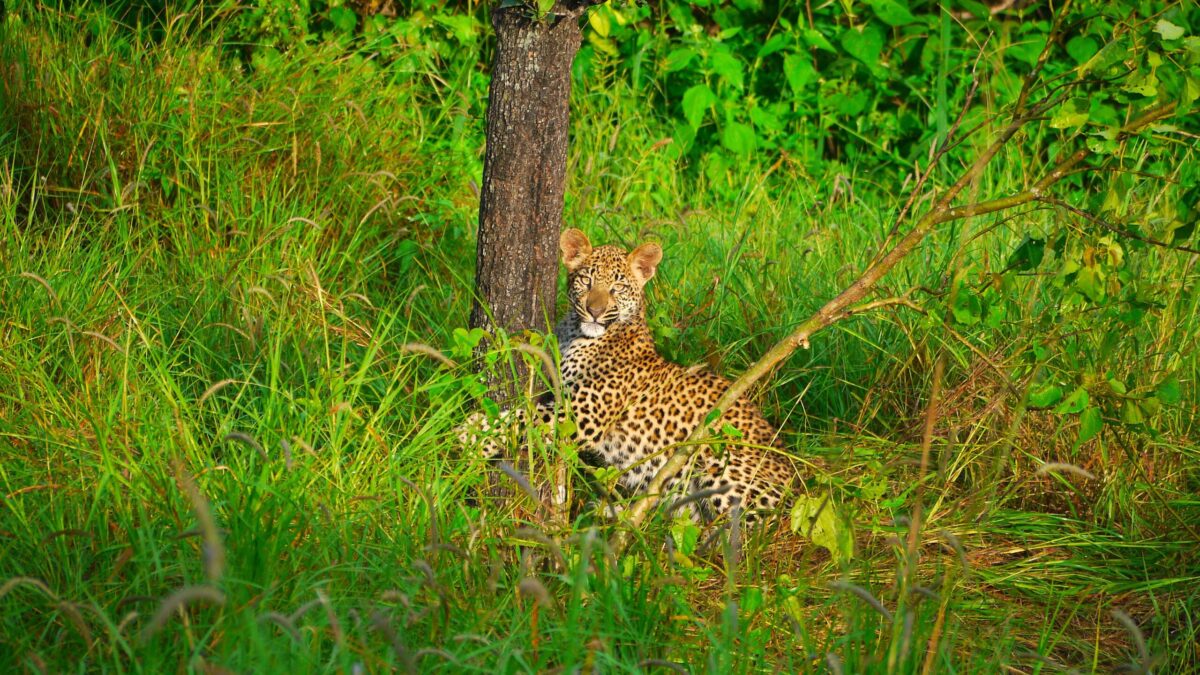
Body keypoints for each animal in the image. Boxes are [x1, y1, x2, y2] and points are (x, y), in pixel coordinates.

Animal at [458, 227, 796, 521]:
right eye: (586, 280)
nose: (594, 311)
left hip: (721, 464)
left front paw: (472, 433)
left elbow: (523, 416)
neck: (577, 334)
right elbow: (526, 410)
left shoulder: (582, 414)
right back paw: (612, 513)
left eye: (617, 288)